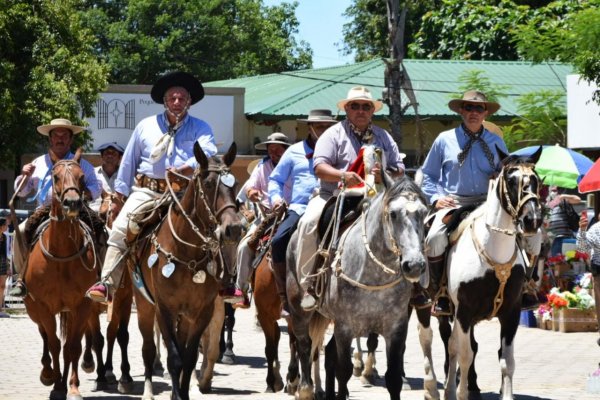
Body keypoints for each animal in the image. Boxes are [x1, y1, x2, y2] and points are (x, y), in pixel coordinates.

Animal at [22, 150, 102, 400]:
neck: (61, 256)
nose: (72, 202)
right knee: (45, 336)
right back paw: (48, 372)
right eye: (55, 176)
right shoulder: (42, 306)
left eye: (82, 177)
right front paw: (56, 385)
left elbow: (72, 347)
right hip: (34, 309)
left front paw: (71, 387)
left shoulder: (82, 305)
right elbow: (54, 344)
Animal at [130, 143, 243, 400]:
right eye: (209, 184)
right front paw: (177, 393)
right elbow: (174, 358)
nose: (233, 228)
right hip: (144, 305)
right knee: (148, 349)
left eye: (235, 185)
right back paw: (148, 391)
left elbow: (189, 358)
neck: (187, 254)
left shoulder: (202, 312)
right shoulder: (164, 310)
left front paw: (182, 392)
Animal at [288, 175, 432, 400]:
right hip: (299, 311)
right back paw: (304, 389)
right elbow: (343, 371)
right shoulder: (345, 327)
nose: (414, 265)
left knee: (327, 353)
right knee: (303, 344)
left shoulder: (396, 328)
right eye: (393, 214)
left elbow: (393, 377)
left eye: (424, 213)